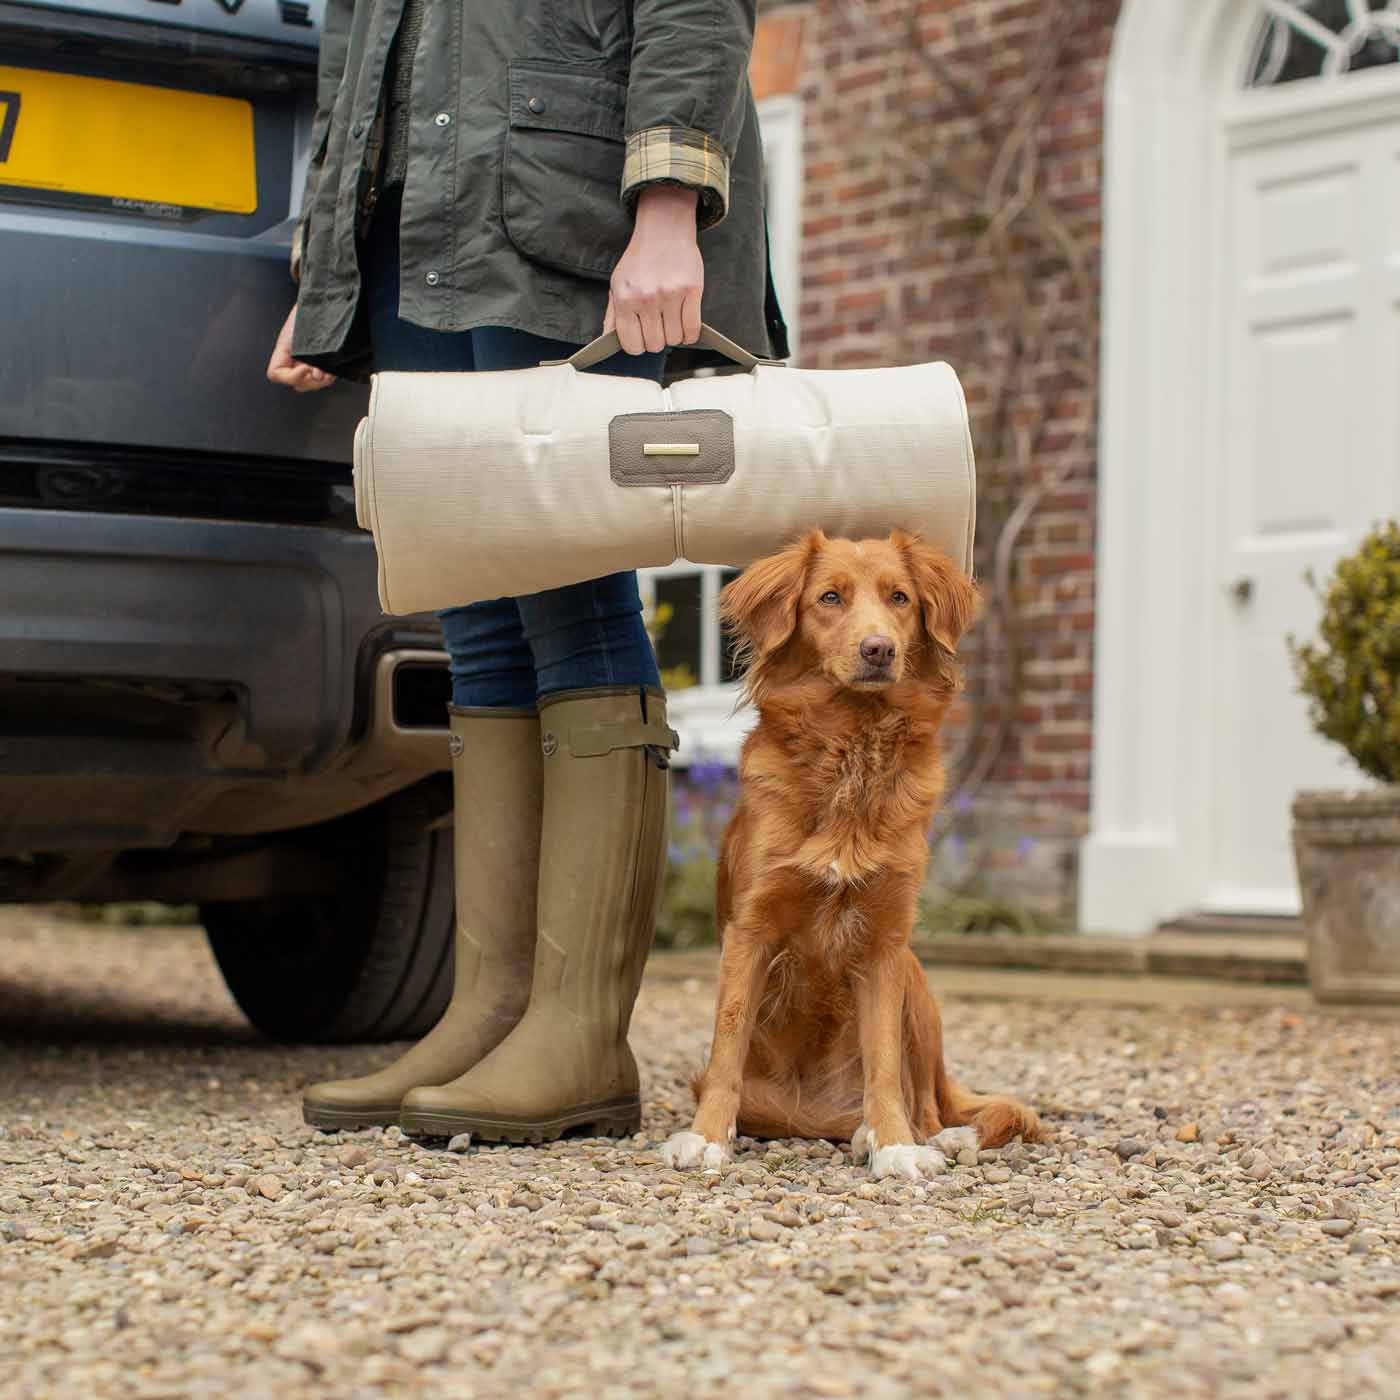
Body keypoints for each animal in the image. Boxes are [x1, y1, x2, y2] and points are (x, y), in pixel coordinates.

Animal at [663, 529, 1041, 1176]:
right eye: (830, 597)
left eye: (900, 598)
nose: (879, 649)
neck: (852, 748)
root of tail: (813, 1112)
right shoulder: (750, 929)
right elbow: (728, 1042)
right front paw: (707, 1136)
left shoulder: (886, 942)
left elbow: (884, 1063)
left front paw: (894, 1145)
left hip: (916, 981)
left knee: (930, 1105)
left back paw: (923, 1136)